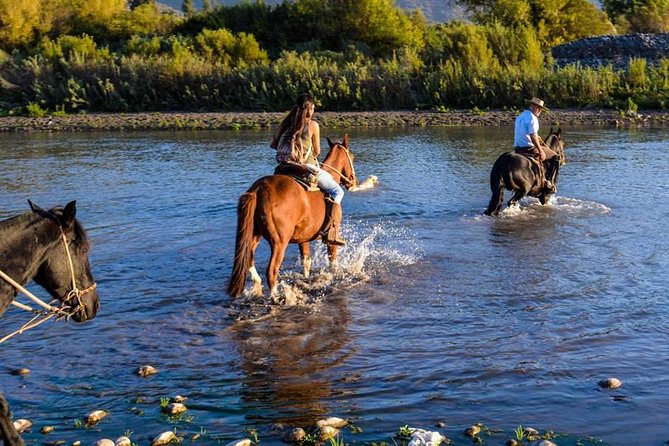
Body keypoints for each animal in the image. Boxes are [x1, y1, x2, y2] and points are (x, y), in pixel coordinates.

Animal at [228, 134, 358, 298]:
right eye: (352, 157)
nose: (353, 181)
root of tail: (258, 190)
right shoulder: (332, 239)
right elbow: (332, 262)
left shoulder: (304, 238)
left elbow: (306, 262)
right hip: (279, 243)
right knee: (271, 271)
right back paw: (276, 297)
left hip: (254, 235)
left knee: (248, 260)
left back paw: (257, 287)